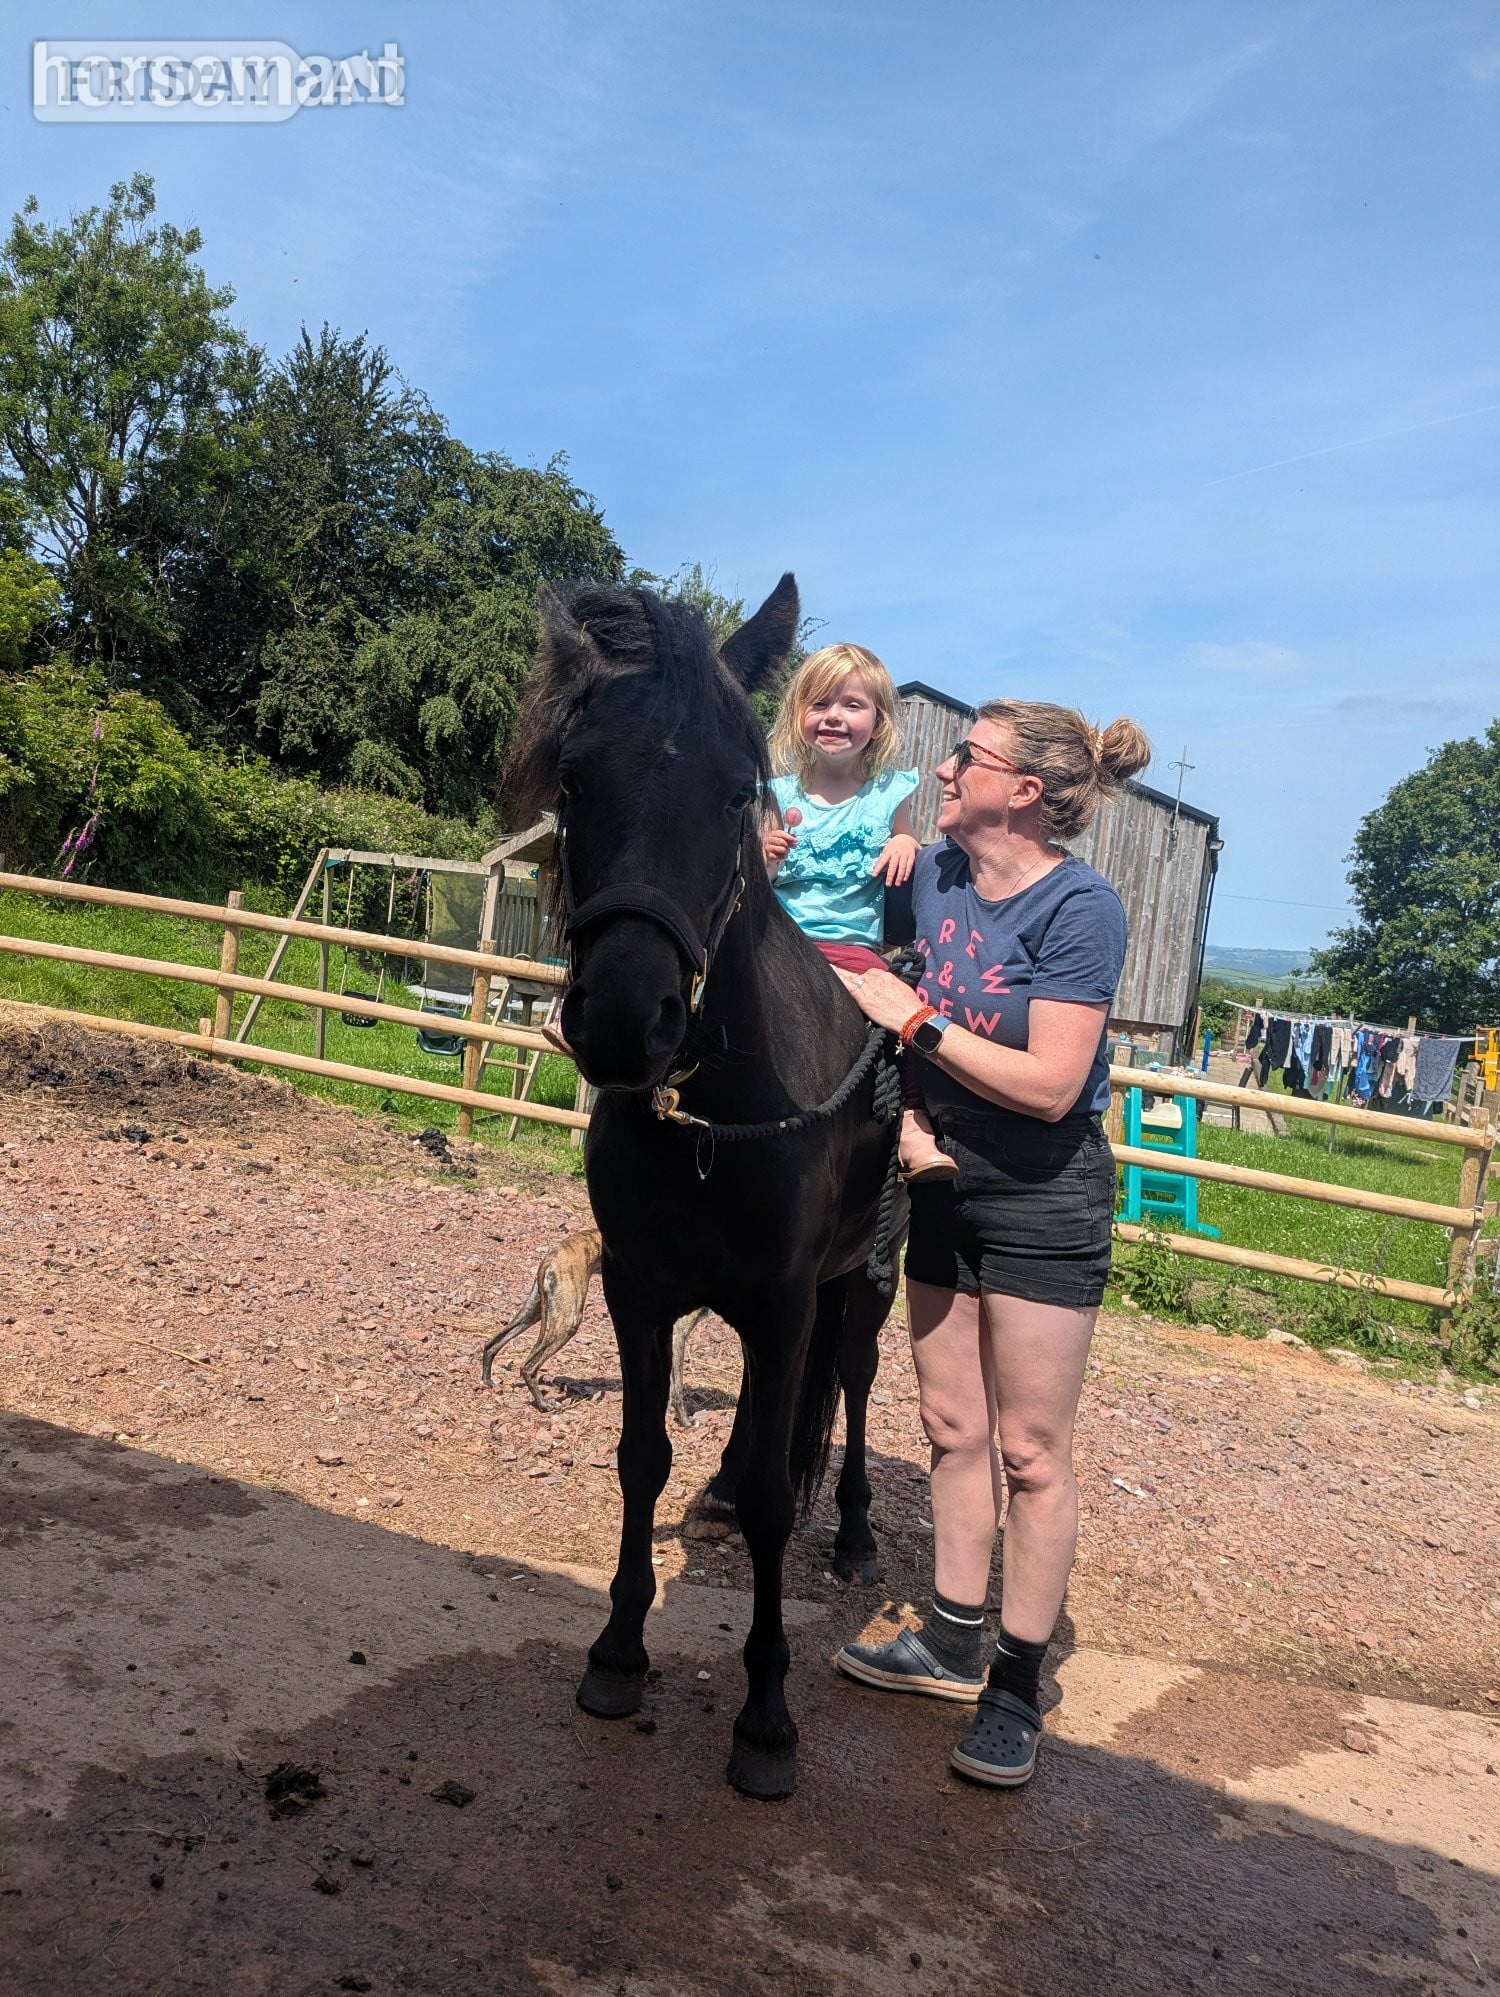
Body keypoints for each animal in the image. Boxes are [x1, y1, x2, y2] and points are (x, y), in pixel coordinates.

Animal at [506, 573, 905, 1799]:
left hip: (864, 1286)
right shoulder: (641, 1289)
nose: (626, 1019)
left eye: (737, 793)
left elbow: (783, 1496)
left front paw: (766, 1716)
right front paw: (618, 1650)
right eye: (576, 780)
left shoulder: (782, 1302)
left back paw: (857, 1531)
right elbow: (643, 1457)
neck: (711, 1110)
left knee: (852, 1388)